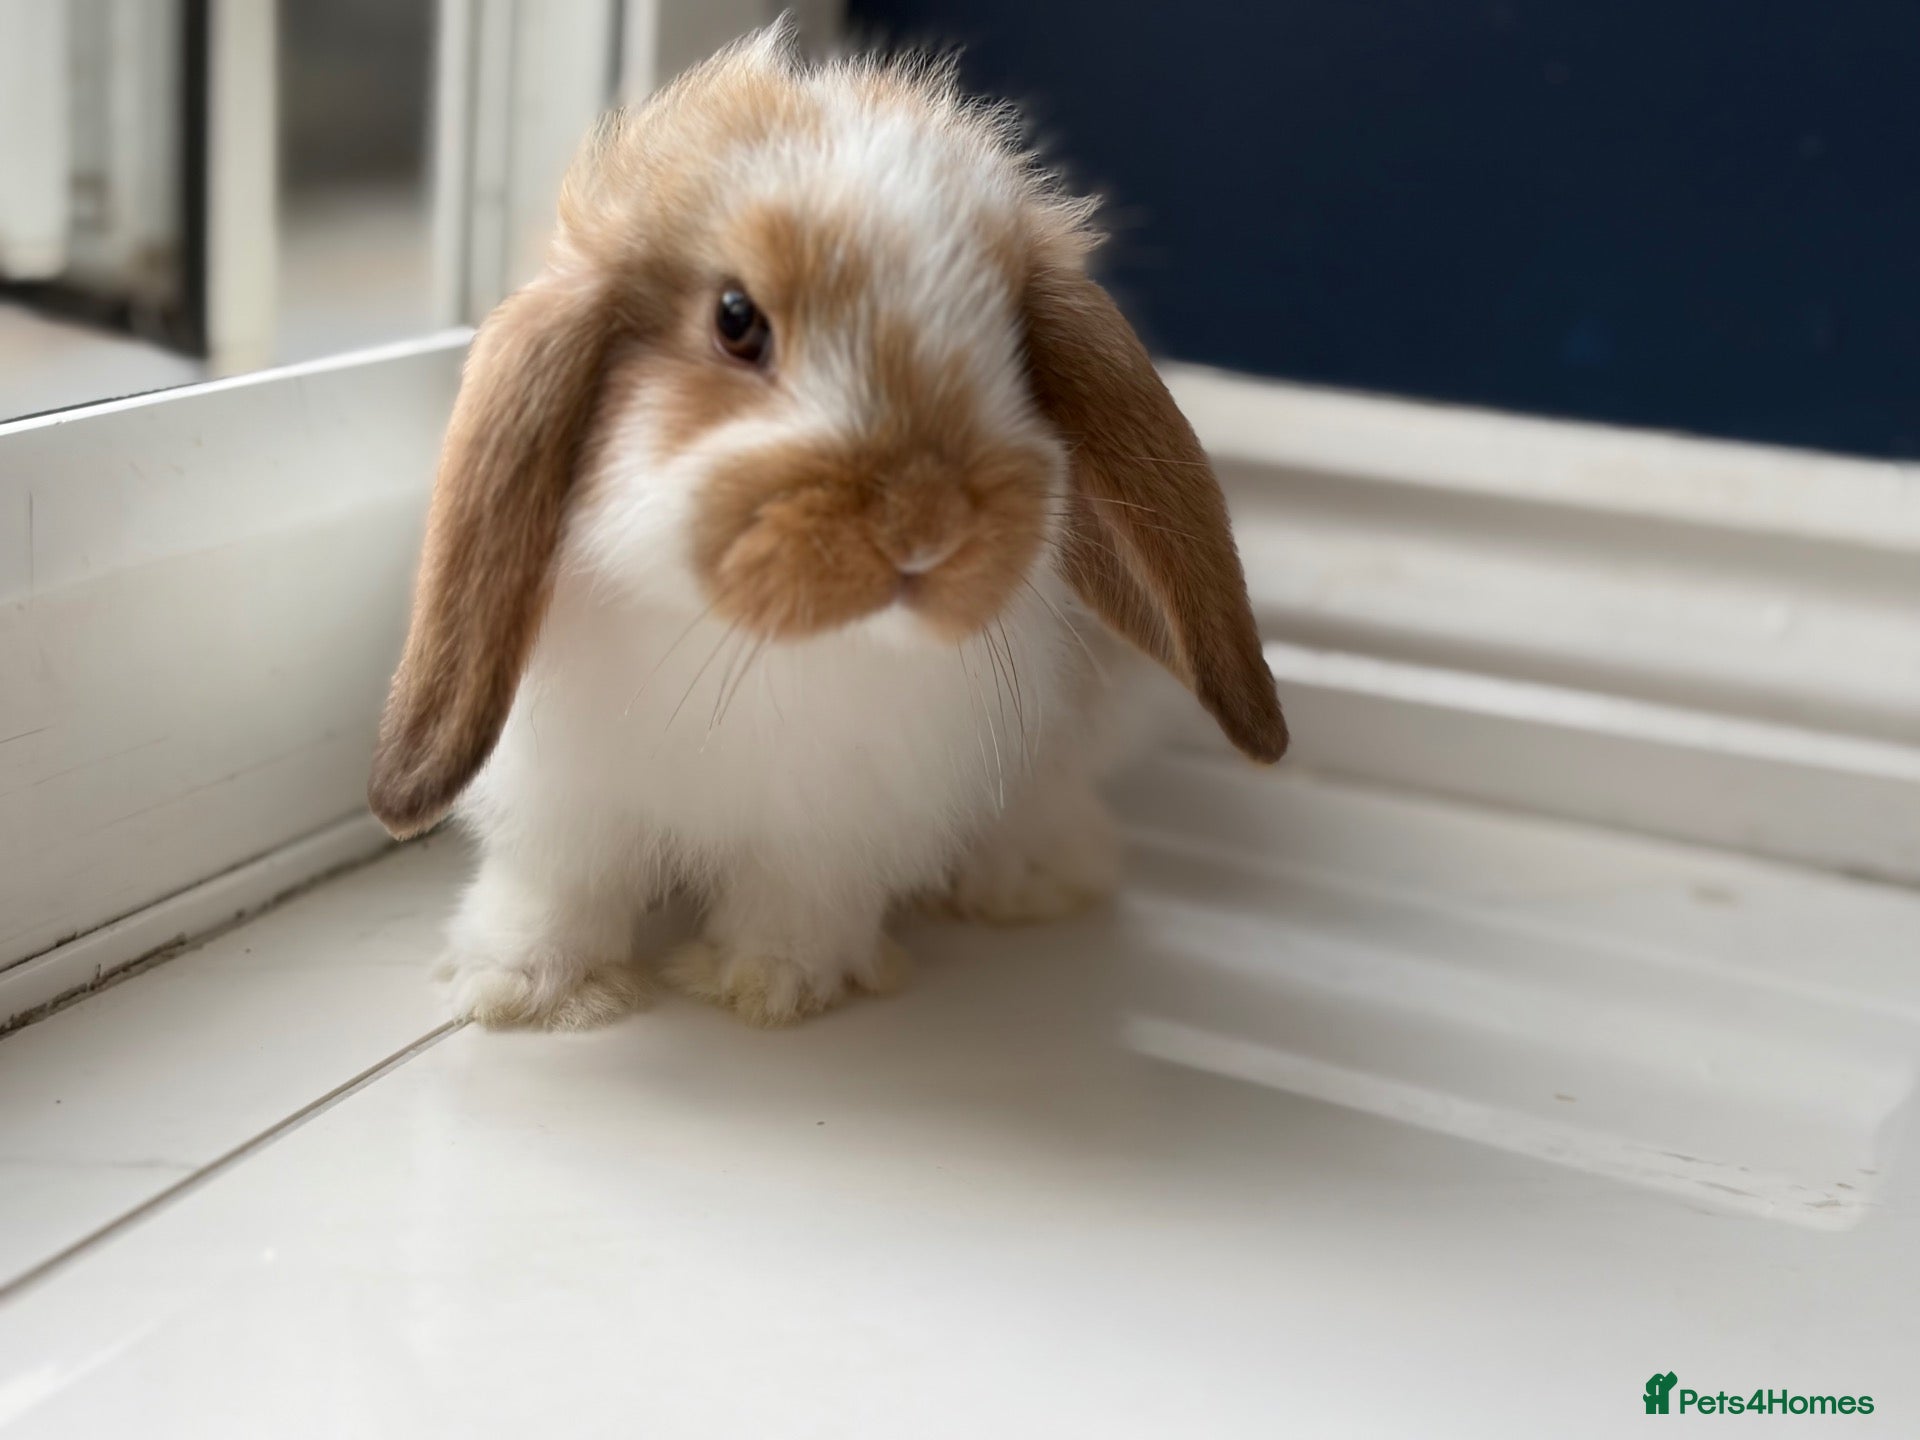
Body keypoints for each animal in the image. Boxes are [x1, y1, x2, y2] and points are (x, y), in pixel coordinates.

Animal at [366, 22, 1287, 1031]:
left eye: (1015, 345)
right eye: (736, 320)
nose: (922, 525)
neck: (749, 649)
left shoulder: (843, 819)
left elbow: (800, 895)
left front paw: (773, 986)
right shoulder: (563, 795)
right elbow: (560, 887)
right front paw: (525, 989)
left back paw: (1029, 882)